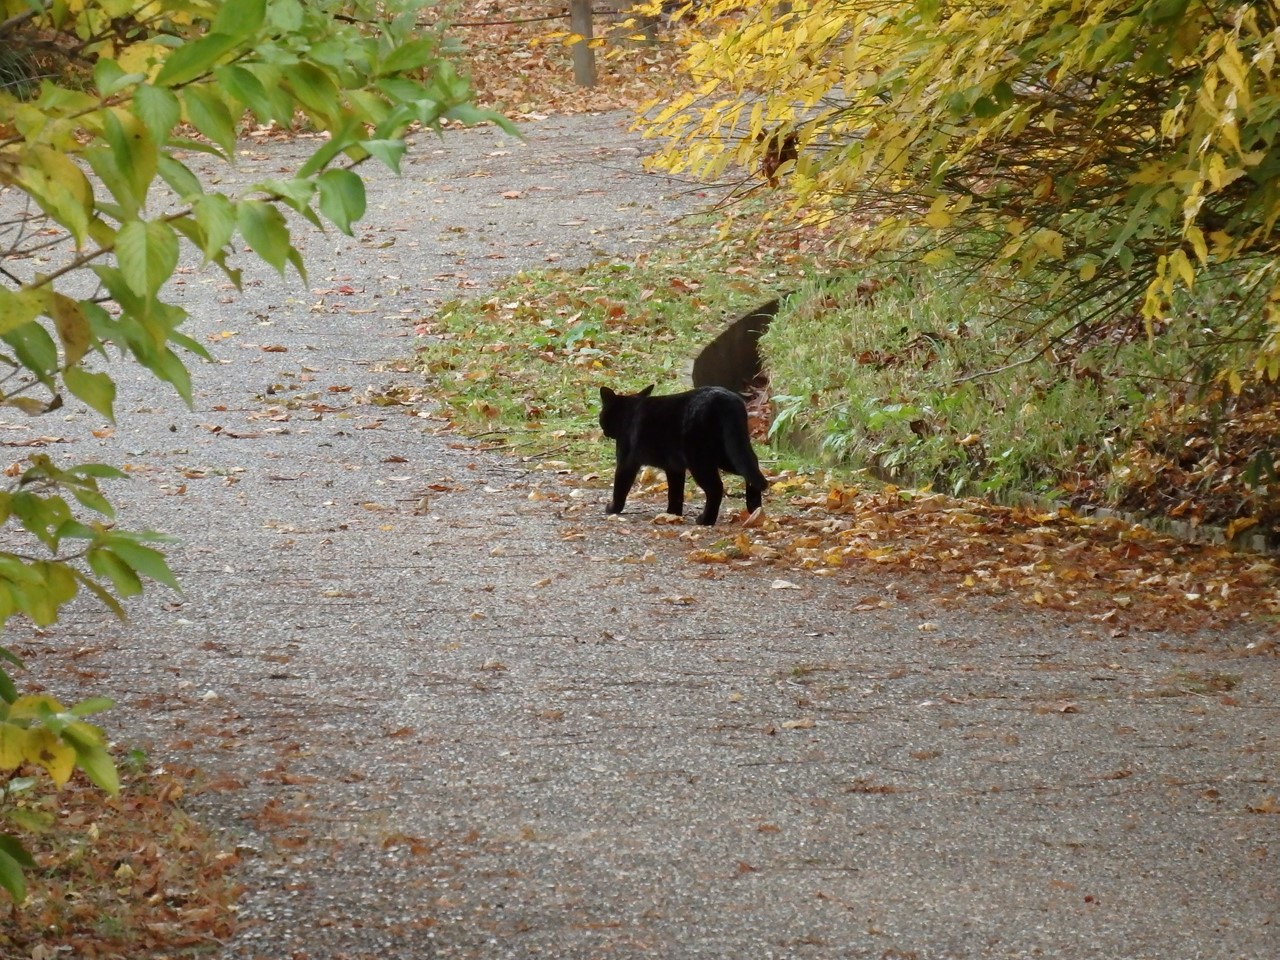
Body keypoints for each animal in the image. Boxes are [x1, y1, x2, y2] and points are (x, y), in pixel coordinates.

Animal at [596, 386, 762, 527]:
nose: (604, 431)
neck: (628, 413)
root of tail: (726, 399)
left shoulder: (626, 462)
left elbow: (620, 486)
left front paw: (613, 508)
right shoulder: (674, 467)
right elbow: (675, 492)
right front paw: (672, 514)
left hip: (700, 460)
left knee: (716, 487)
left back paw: (706, 520)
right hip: (728, 452)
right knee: (752, 468)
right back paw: (756, 510)